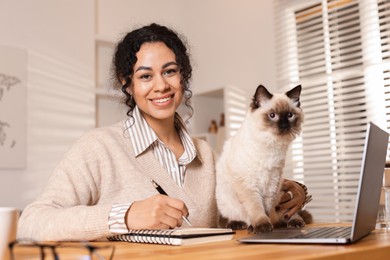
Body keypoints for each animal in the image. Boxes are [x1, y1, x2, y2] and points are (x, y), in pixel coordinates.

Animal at [215, 84, 310, 233]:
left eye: (290, 115)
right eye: (272, 115)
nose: (284, 125)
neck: (270, 144)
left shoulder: (272, 183)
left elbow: (266, 209)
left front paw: (268, 225)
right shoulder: (249, 185)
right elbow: (256, 209)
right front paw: (262, 226)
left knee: (289, 215)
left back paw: (291, 222)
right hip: (226, 200)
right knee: (234, 217)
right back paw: (238, 224)